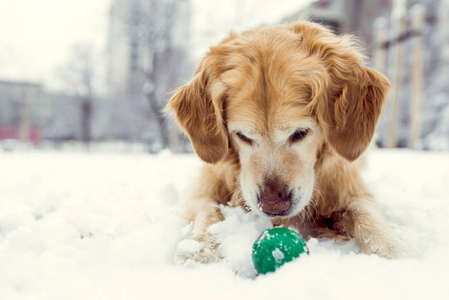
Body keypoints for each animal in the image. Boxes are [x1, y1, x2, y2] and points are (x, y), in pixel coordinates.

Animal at [164, 20, 410, 262]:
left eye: (300, 133)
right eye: (242, 136)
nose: (273, 205)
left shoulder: (349, 186)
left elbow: (365, 212)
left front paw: (391, 250)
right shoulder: (204, 185)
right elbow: (207, 209)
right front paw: (202, 247)